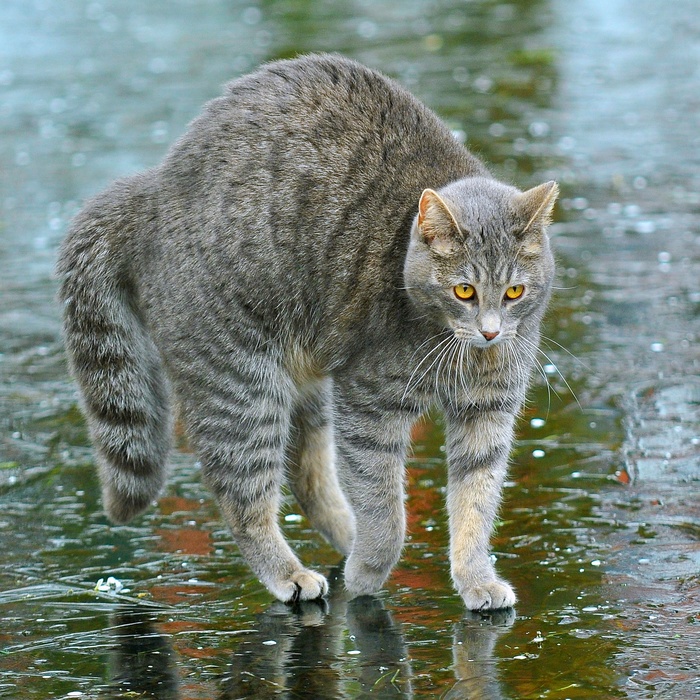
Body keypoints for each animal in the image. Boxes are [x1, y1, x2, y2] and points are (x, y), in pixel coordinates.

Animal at [56, 54, 556, 608]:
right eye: (464, 291)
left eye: (514, 292)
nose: (491, 333)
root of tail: (153, 189)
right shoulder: (369, 404)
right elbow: (383, 505)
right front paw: (371, 571)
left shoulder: (488, 411)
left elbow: (475, 504)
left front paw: (474, 577)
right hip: (242, 386)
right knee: (243, 498)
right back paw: (291, 571)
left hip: (304, 384)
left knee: (307, 477)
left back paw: (344, 539)